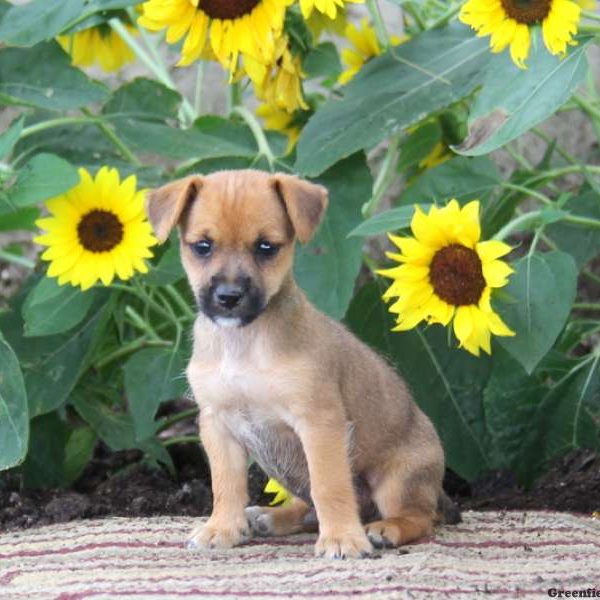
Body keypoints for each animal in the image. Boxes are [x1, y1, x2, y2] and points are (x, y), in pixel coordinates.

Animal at [146, 168, 460, 556]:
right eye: (202, 246)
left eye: (266, 247)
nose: (229, 297)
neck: (244, 344)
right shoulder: (218, 425)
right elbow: (226, 486)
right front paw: (222, 529)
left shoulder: (318, 422)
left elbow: (330, 486)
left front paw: (341, 537)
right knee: (307, 507)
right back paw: (272, 516)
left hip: (398, 480)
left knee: (419, 516)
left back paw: (386, 528)